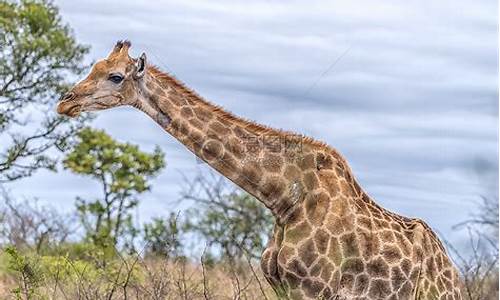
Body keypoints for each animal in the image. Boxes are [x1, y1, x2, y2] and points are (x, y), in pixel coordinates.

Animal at [57, 41, 460, 300]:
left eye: (115, 76)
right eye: (94, 67)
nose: (66, 101)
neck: (282, 197)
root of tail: (455, 275)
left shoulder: (316, 289)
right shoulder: (282, 287)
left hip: (435, 297)